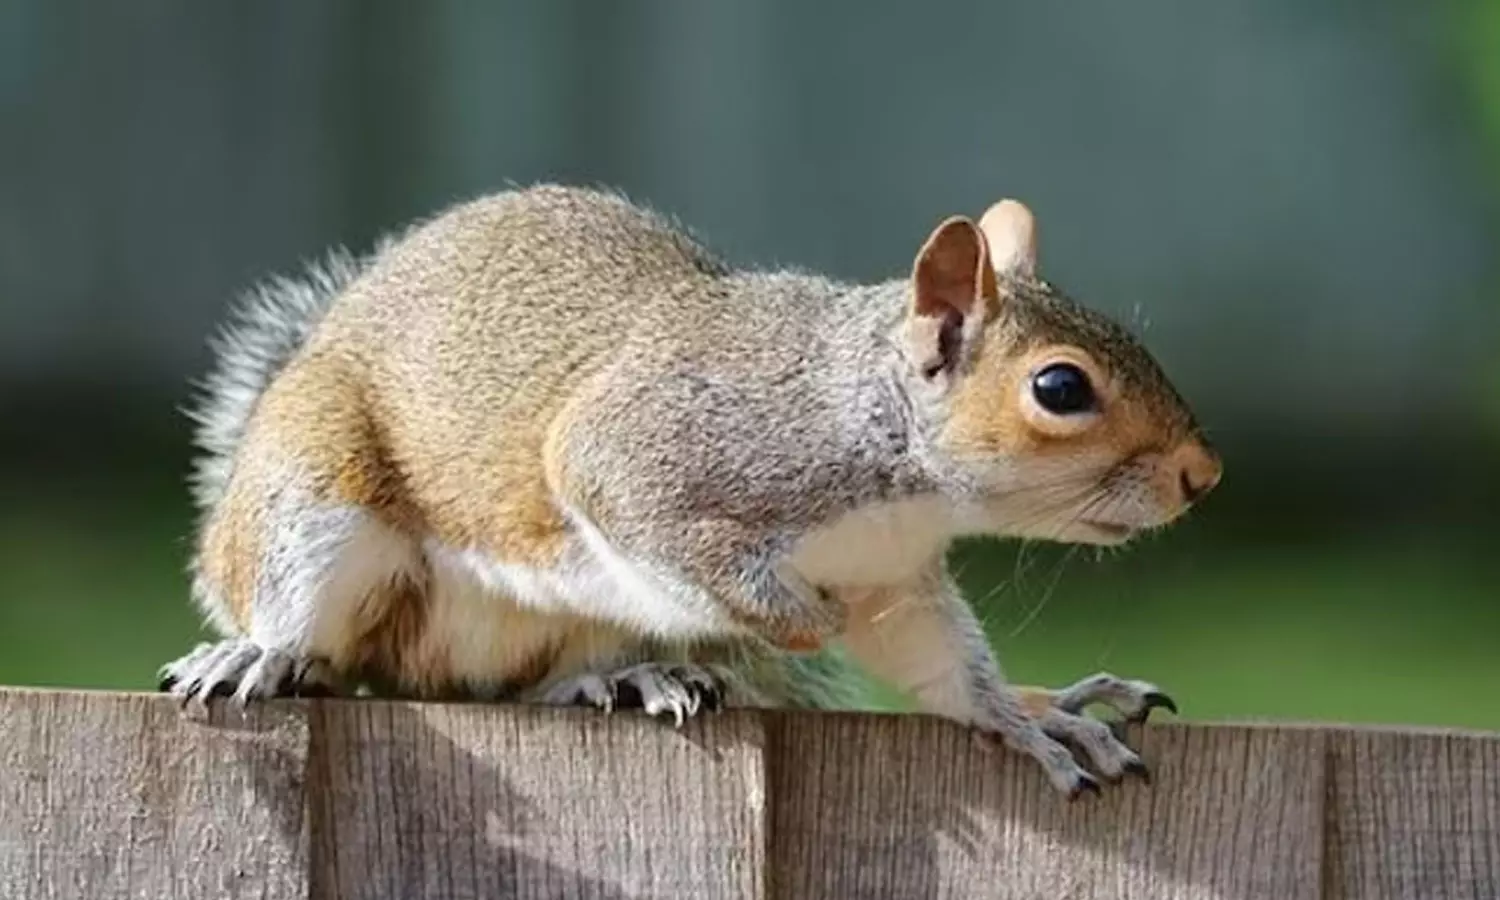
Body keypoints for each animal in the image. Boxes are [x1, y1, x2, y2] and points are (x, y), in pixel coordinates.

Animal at [159, 184, 1221, 798]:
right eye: (1060, 388)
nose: (1200, 475)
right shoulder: (646, 453)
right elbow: (661, 528)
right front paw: (796, 622)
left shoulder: (892, 578)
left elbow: (941, 668)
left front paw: (1032, 717)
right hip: (314, 498)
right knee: (319, 628)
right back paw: (260, 653)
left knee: (514, 687)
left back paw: (624, 677)